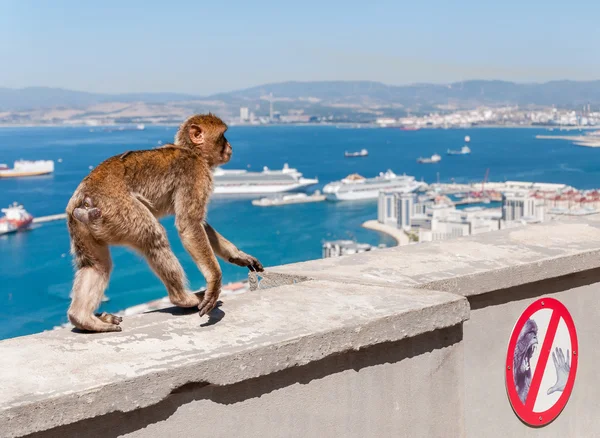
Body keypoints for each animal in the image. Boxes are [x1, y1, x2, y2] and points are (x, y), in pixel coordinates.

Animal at [64, 113, 264, 332]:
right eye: (223, 136)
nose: (230, 146)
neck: (193, 152)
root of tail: (84, 199)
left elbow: (200, 225)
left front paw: (238, 255)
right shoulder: (196, 173)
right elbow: (189, 224)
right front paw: (214, 282)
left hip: (81, 225)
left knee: (97, 265)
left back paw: (83, 318)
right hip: (118, 209)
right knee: (154, 237)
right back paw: (183, 298)